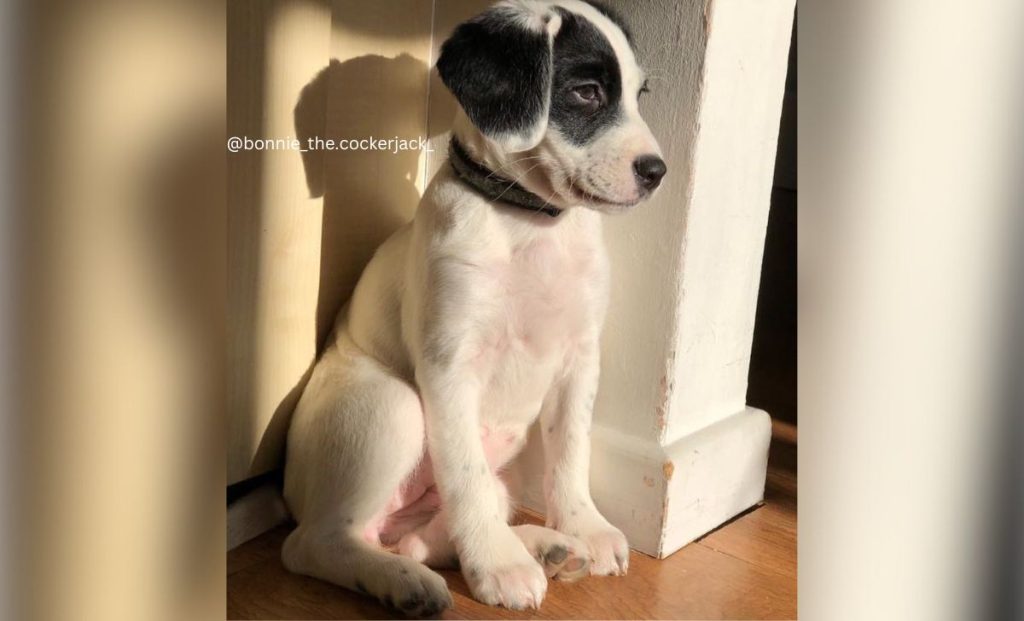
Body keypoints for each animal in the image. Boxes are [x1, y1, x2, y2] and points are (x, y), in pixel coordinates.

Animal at [280, 0, 663, 614]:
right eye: (586, 92)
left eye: (637, 94)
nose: (657, 172)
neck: (529, 225)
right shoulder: (449, 366)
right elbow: (466, 475)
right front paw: (498, 567)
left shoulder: (580, 360)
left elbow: (569, 454)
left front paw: (583, 525)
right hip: (395, 406)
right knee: (318, 542)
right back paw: (407, 581)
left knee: (426, 534)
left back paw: (542, 546)